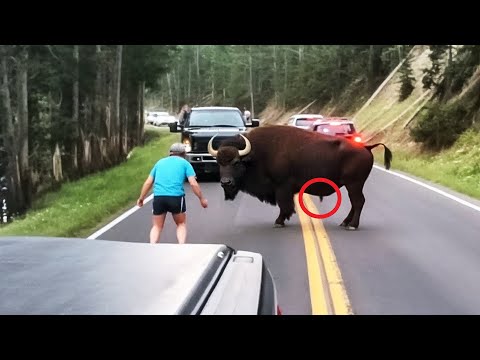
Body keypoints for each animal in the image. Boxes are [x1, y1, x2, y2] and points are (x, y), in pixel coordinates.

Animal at [208, 125, 392, 229]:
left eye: (236, 162)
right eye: (219, 163)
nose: (225, 182)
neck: (256, 154)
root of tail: (366, 147)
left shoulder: (282, 187)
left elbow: (284, 205)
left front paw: (279, 222)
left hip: (354, 184)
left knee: (358, 202)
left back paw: (352, 226)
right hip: (351, 185)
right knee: (355, 203)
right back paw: (345, 223)